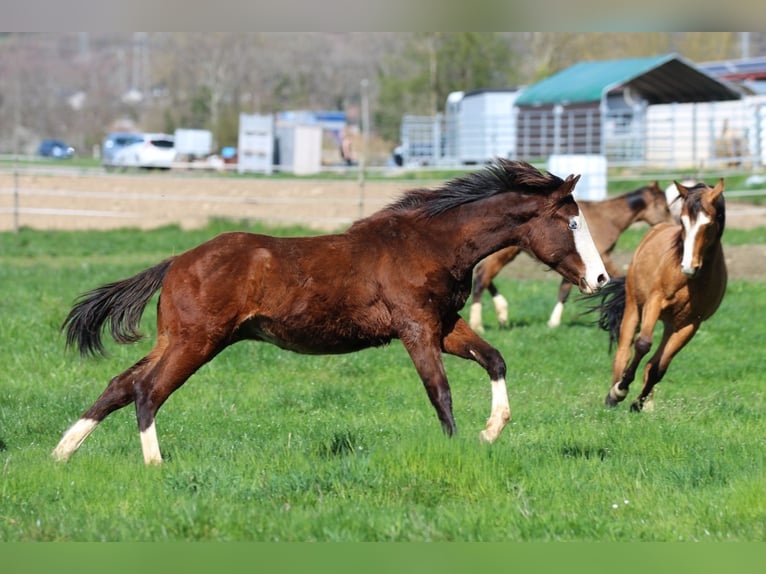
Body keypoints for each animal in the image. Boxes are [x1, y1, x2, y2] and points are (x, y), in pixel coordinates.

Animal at [52, 159, 609, 465]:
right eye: (572, 222)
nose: (601, 279)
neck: (430, 242)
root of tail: (176, 262)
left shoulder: (444, 325)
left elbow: (494, 359)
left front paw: (492, 430)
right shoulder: (415, 328)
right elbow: (440, 391)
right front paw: (458, 447)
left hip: (177, 338)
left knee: (121, 385)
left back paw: (61, 453)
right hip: (197, 341)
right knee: (148, 390)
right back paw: (154, 464)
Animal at [469, 182, 672, 332]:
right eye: (665, 207)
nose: (673, 224)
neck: (607, 217)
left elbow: (565, 289)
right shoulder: (599, 258)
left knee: (482, 275)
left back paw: (502, 313)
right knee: (483, 276)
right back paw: (478, 324)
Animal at [586, 179, 726, 412]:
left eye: (708, 224)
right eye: (683, 222)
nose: (689, 267)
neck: (690, 281)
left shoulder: (690, 324)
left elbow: (658, 368)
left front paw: (638, 403)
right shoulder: (654, 302)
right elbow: (642, 344)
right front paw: (620, 390)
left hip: (671, 324)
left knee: (653, 362)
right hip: (634, 307)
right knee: (623, 352)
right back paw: (612, 396)